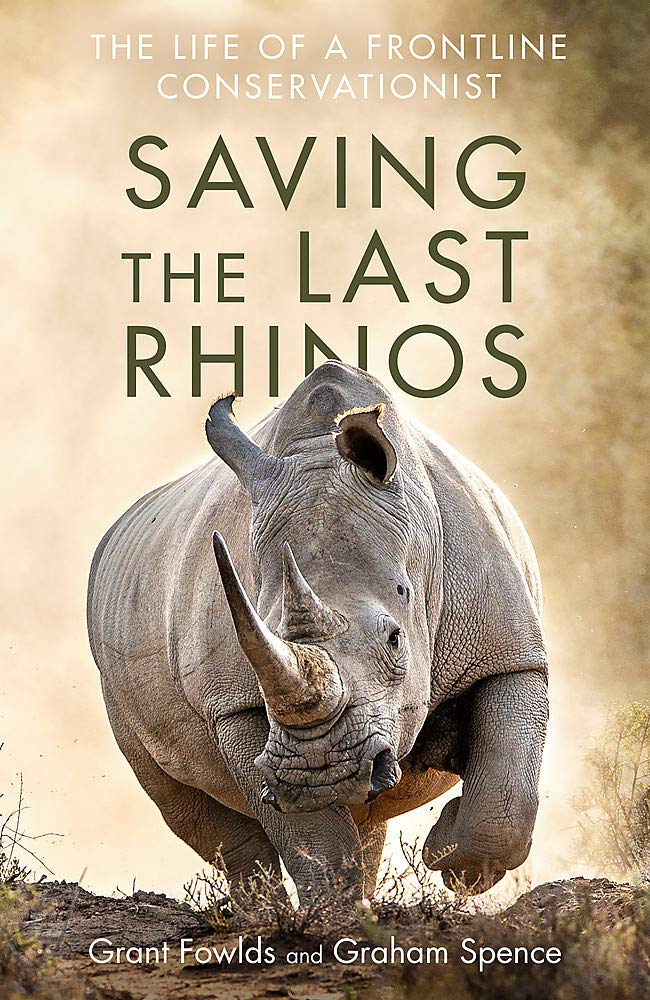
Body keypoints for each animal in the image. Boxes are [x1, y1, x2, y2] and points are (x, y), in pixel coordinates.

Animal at [87, 362, 548, 901]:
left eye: (395, 639)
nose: (320, 773)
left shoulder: (509, 649)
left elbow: (506, 793)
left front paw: (448, 859)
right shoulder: (234, 705)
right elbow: (312, 837)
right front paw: (335, 914)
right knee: (190, 809)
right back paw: (263, 911)